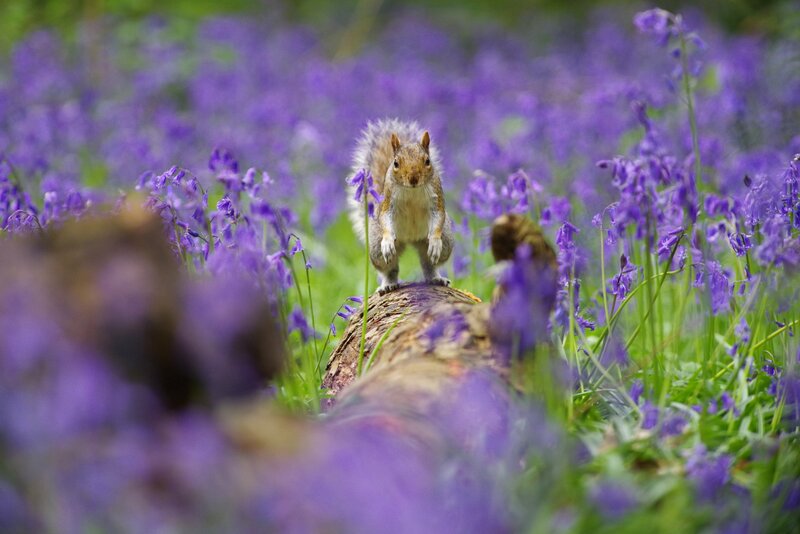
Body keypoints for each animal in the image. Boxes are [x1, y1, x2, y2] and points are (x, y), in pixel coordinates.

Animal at [348, 119, 454, 295]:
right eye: (396, 163)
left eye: (427, 161)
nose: (413, 178)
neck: (412, 190)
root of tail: (411, 240)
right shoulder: (388, 201)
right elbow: (385, 218)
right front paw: (388, 241)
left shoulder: (436, 197)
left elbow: (439, 217)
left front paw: (434, 241)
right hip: (376, 249)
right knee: (389, 269)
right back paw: (388, 284)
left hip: (445, 242)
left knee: (428, 263)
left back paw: (435, 278)